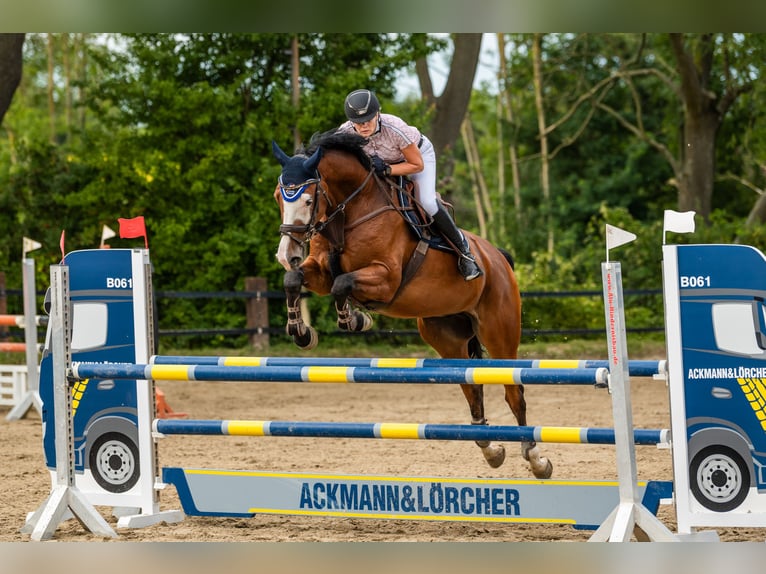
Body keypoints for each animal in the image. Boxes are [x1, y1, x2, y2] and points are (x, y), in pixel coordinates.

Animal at [270, 130, 552, 482]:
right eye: (278, 198)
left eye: (308, 200)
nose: (287, 253)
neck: (351, 208)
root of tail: (497, 258)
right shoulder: (319, 270)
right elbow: (294, 280)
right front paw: (301, 332)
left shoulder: (386, 277)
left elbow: (342, 283)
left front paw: (354, 320)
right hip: (448, 338)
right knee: (471, 387)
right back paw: (491, 450)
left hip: (500, 333)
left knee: (514, 392)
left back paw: (536, 458)